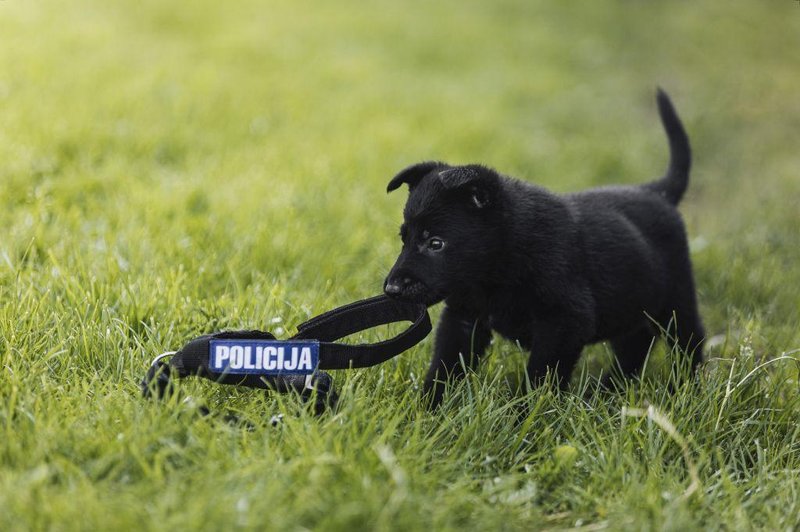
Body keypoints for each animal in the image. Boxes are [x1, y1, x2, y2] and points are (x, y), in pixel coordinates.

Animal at [384, 90, 704, 408]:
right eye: (404, 238)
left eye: (435, 243)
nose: (391, 289)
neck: (499, 265)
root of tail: (658, 192)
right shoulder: (463, 317)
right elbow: (445, 365)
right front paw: (428, 409)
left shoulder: (564, 322)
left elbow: (540, 377)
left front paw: (525, 415)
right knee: (635, 344)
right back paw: (607, 392)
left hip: (676, 300)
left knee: (689, 342)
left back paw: (688, 389)